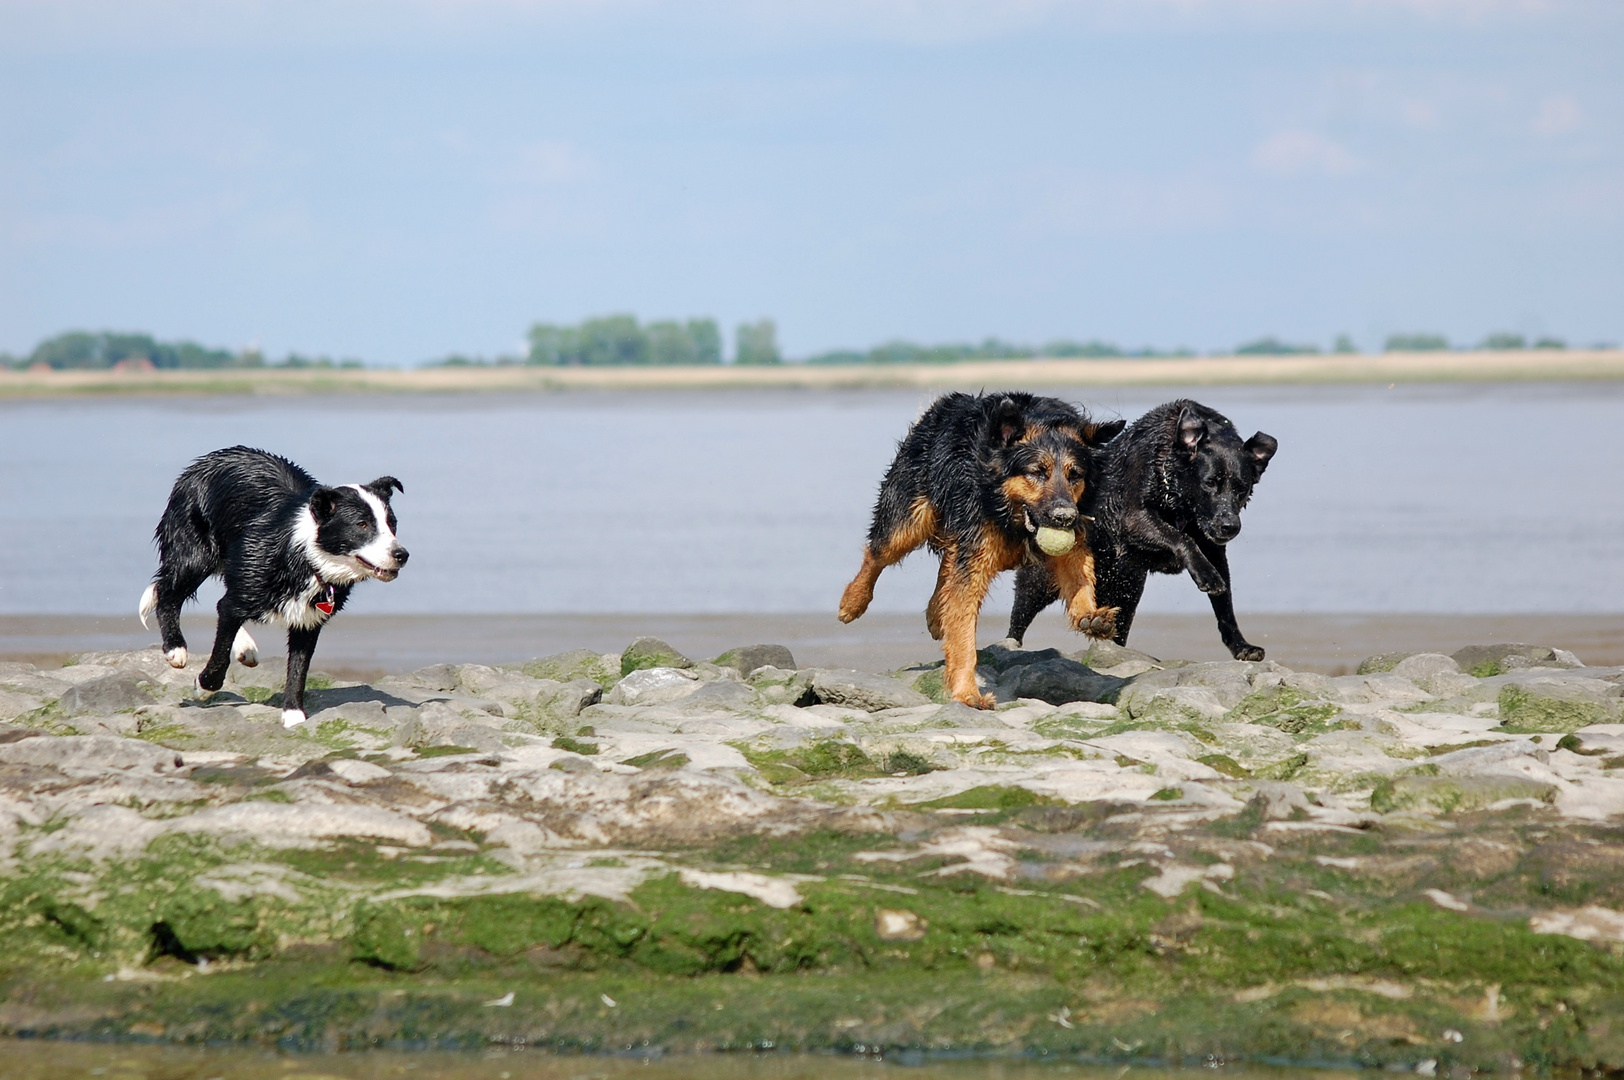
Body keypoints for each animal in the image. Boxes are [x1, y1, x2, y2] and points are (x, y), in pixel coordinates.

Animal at [136, 441, 409, 727]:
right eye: (362, 525)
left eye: (392, 524)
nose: (402, 555)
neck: (305, 555)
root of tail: (206, 459)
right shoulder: (246, 586)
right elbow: (221, 650)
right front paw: (204, 686)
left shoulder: (308, 619)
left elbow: (298, 668)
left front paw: (293, 714)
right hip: (196, 554)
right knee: (167, 593)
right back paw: (175, 648)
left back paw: (245, 647)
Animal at [837, 391, 1130, 711]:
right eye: (1037, 473)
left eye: (1075, 475)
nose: (1064, 516)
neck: (1013, 514)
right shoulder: (978, 537)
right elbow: (964, 628)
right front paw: (967, 693)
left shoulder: (1073, 529)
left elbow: (1079, 570)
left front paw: (1089, 615)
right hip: (910, 517)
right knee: (879, 553)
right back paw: (853, 602)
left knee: (948, 563)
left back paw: (935, 614)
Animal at [1000, 397, 1279, 656]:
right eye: (1210, 482)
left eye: (1242, 489)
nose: (1229, 526)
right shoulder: (1132, 519)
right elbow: (1180, 538)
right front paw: (1205, 575)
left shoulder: (1213, 549)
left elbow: (1225, 604)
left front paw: (1241, 646)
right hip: (1041, 581)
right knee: (1019, 617)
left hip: (1126, 588)